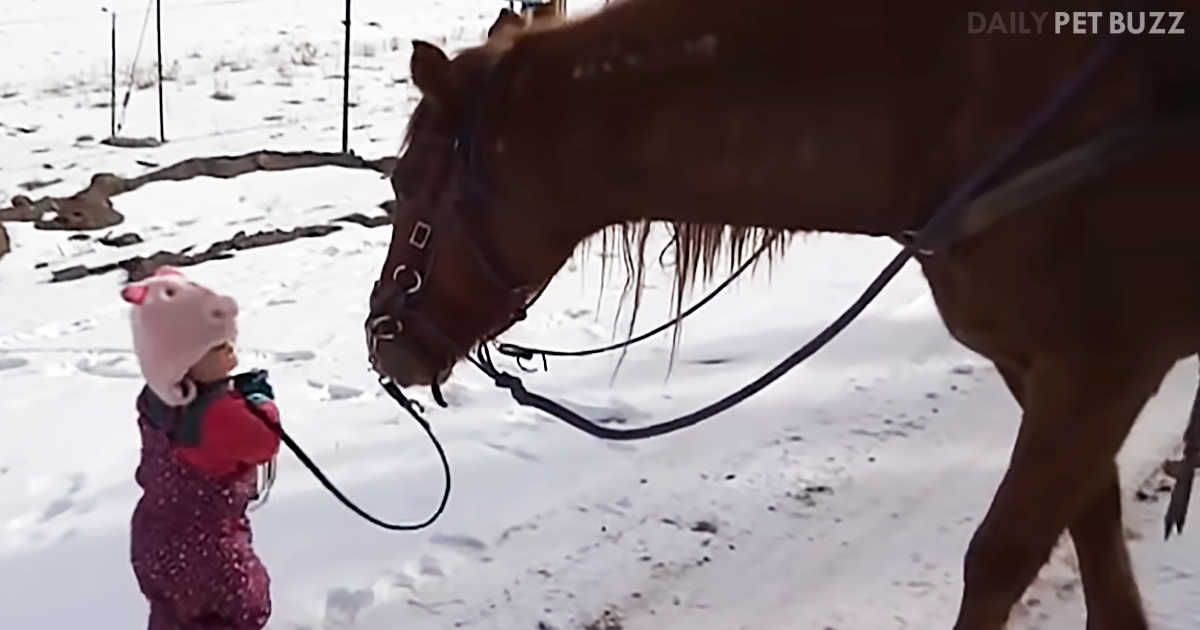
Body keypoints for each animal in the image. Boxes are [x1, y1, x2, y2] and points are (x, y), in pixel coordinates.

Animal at [367, 0, 1199, 627]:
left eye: (406, 183)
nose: (383, 339)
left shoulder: (1098, 371)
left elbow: (1001, 556)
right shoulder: (1042, 371)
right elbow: (1095, 535)